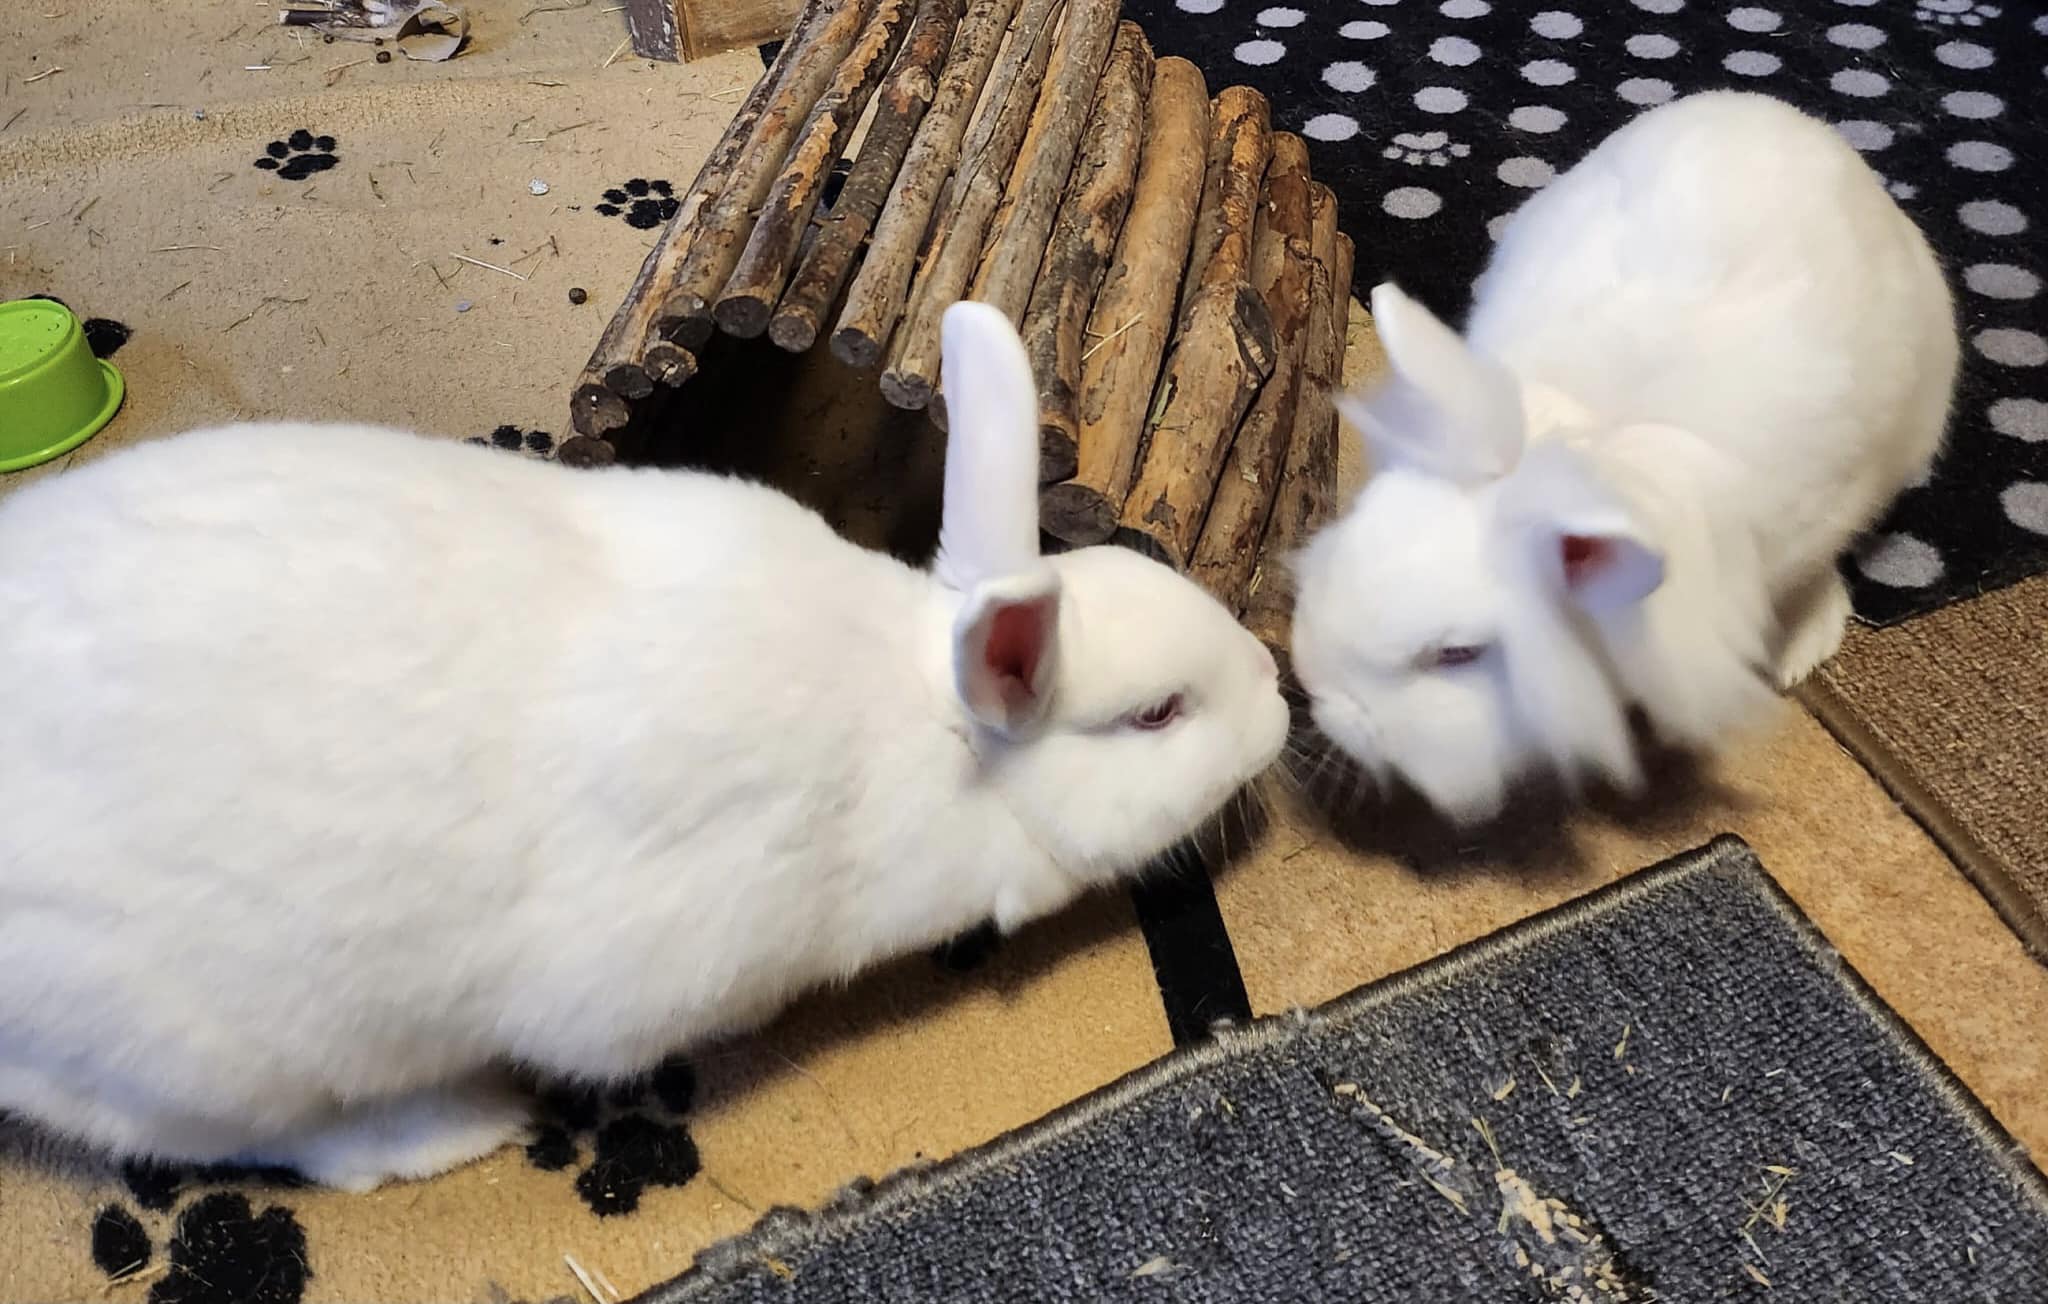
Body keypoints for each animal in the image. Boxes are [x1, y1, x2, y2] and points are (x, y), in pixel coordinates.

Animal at [0, 301, 1288, 1191]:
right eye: (1158, 713)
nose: (1279, 703)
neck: (924, 730)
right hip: (223, 1043)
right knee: (228, 1133)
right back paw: (451, 1129)